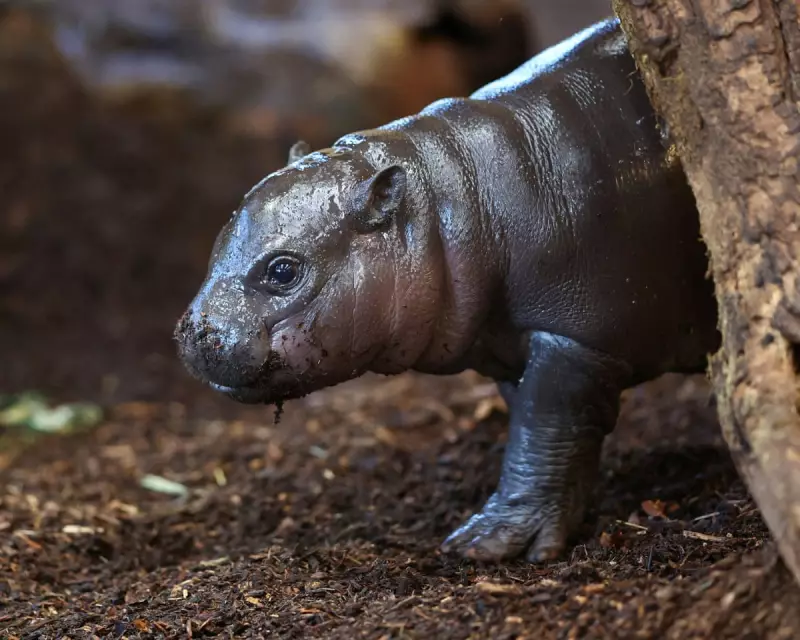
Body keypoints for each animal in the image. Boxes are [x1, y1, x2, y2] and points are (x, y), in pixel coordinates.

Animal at [175, 17, 719, 563]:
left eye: (283, 270)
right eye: (217, 244)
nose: (193, 333)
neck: (455, 200)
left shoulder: (576, 338)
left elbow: (544, 425)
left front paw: (484, 544)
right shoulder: (508, 345)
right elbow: (545, 429)